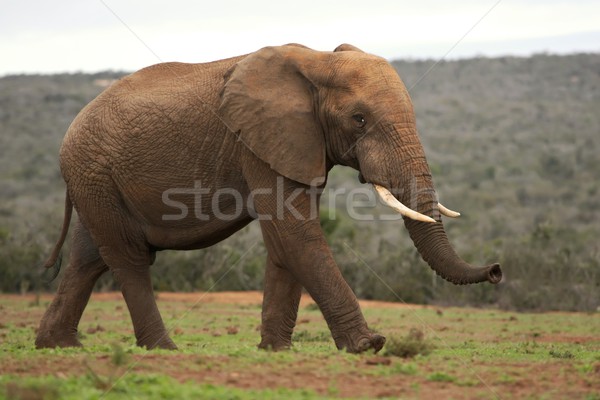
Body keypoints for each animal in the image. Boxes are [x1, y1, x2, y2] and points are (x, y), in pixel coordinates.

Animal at [34, 43, 502, 354]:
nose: (496, 270)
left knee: (88, 257)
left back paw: (57, 347)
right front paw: (368, 345)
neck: (317, 61)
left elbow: (284, 243)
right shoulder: (257, 144)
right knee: (128, 259)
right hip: (95, 174)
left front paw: (276, 352)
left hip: (96, 182)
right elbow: (296, 234)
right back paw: (163, 349)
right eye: (359, 119)